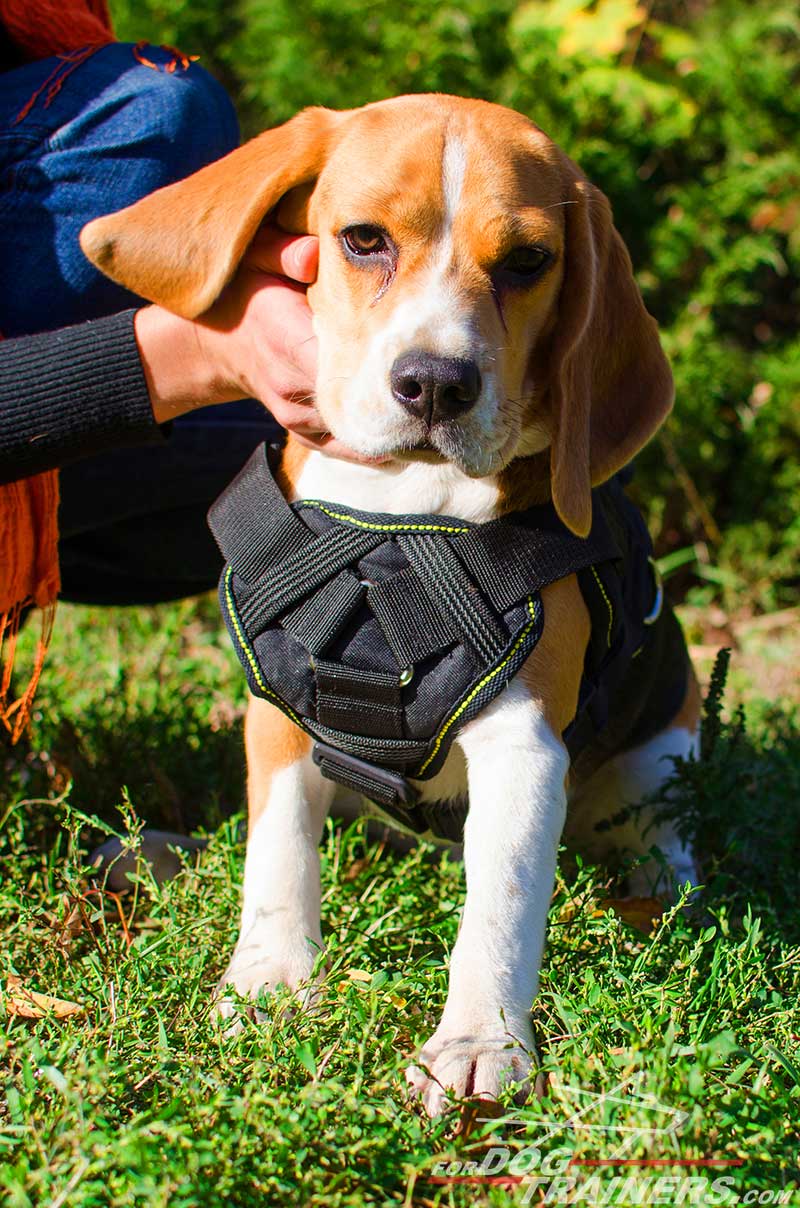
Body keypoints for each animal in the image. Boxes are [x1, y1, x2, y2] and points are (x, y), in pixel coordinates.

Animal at [78, 94, 700, 1111]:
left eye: (527, 262)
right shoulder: (279, 715)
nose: (438, 383)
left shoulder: (524, 749)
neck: (399, 519)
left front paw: (479, 1043)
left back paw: (646, 897)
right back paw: (159, 851)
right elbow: (278, 856)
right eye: (362, 240)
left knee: (663, 842)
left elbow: (500, 905)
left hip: (662, 752)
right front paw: (269, 982)